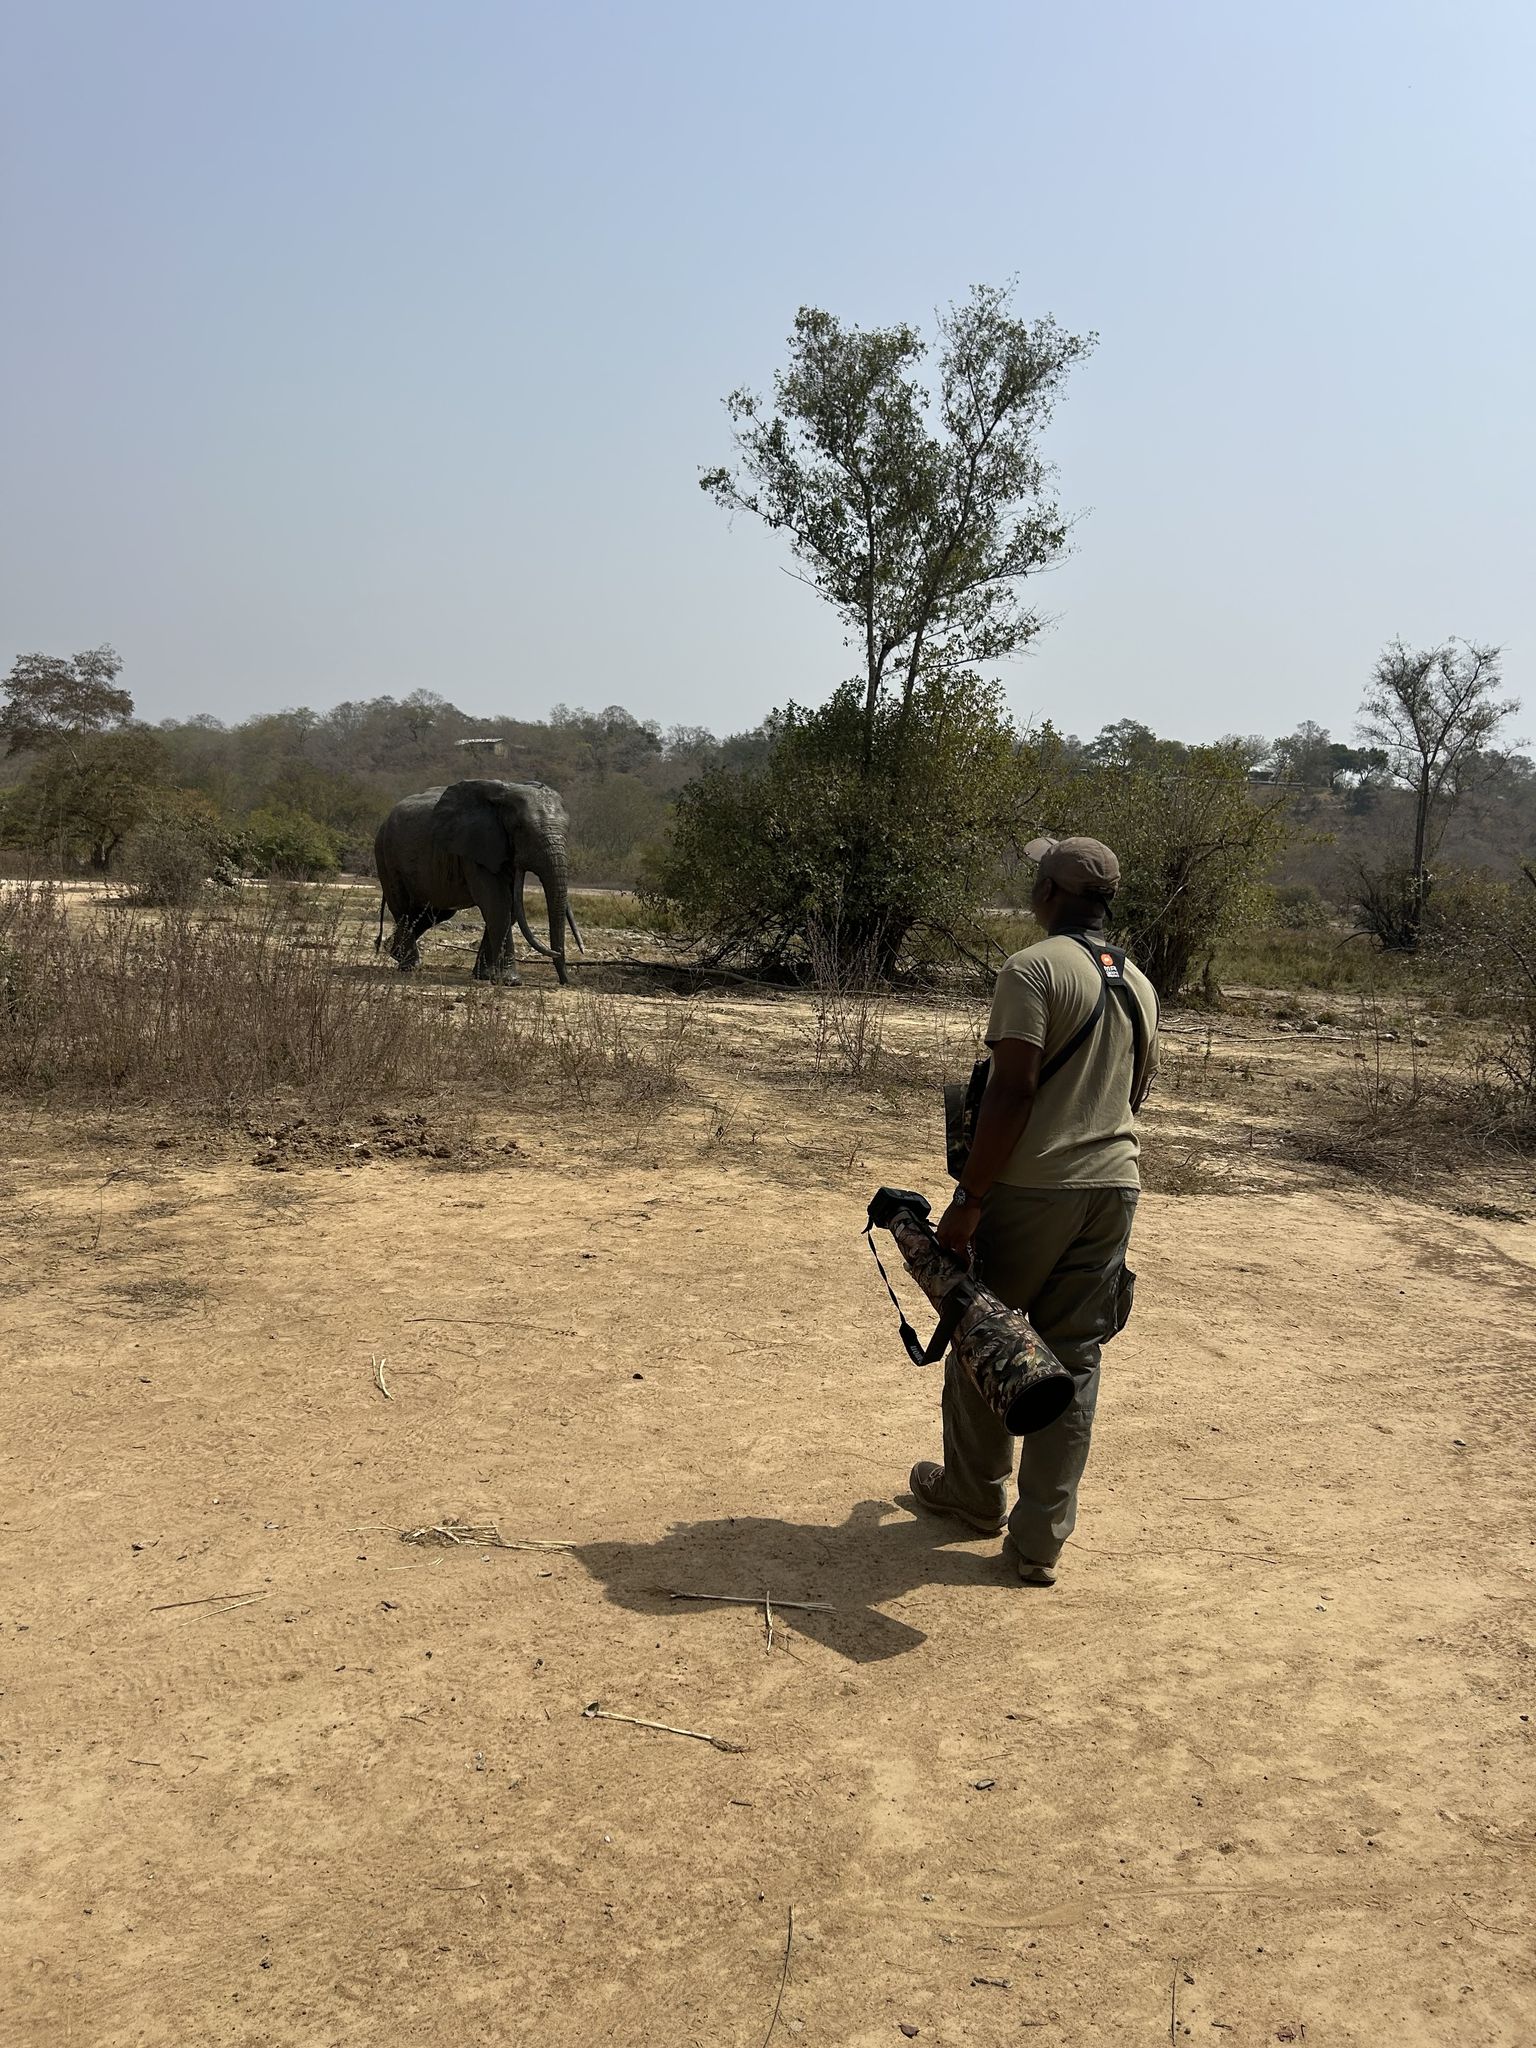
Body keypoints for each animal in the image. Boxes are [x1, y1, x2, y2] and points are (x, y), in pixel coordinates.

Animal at [373, 779, 584, 984]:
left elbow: (510, 908)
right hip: (386, 855)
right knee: (403, 908)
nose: (568, 981)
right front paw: (511, 981)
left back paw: (393, 951)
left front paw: (485, 977)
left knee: (433, 913)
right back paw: (410, 965)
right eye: (520, 828)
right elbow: (498, 904)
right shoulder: (475, 848)